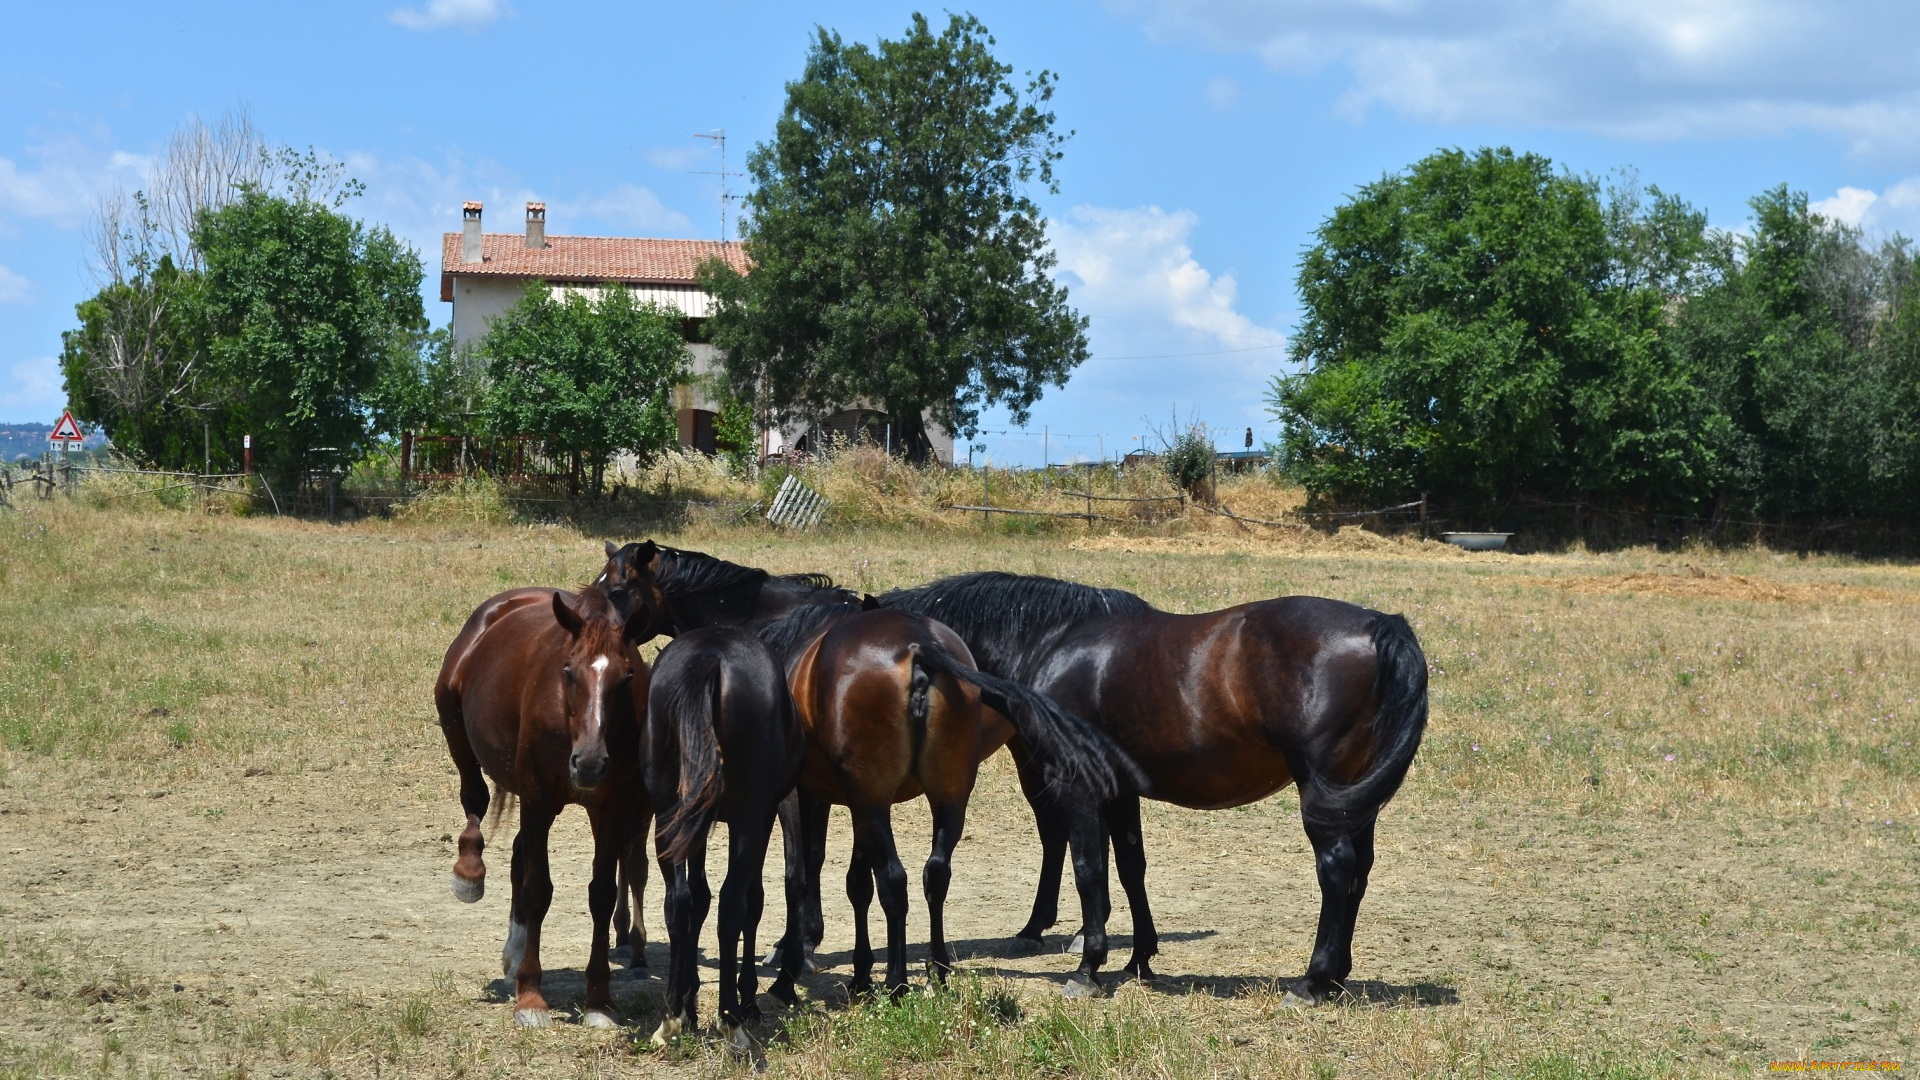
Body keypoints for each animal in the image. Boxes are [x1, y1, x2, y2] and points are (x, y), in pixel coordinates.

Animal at [435, 580, 652, 1022]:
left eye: (626, 677)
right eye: (568, 672)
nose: (589, 763)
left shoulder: (611, 808)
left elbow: (601, 893)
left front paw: (598, 1000)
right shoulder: (537, 800)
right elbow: (537, 891)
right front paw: (531, 997)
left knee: (519, 854)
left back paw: (515, 952)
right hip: (454, 722)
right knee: (474, 799)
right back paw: (469, 871)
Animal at [637, 626, 802, 1045]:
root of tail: (711, 655)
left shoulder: (697, 819)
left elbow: (697, 898)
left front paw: (690, 1004)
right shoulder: (762, 816)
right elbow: (752, 901)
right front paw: (749, 1000)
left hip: (669, 813)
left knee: (678, 902)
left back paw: (670, 1016)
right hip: (747, 818)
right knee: (732, 903)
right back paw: (732, 1019)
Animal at [879, 572, 1436, 999]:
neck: (1052, 641)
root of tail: (1378, 625)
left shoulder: (1076, 787)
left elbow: (1088, 870)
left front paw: (1088, 968)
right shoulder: (1120, 790)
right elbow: (1130, 867)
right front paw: (1139, 959)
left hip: (1326, 791)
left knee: (1337, 870)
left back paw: (1313, 981)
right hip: (1355, 797)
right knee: (1360, 871)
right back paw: (1337, 976)